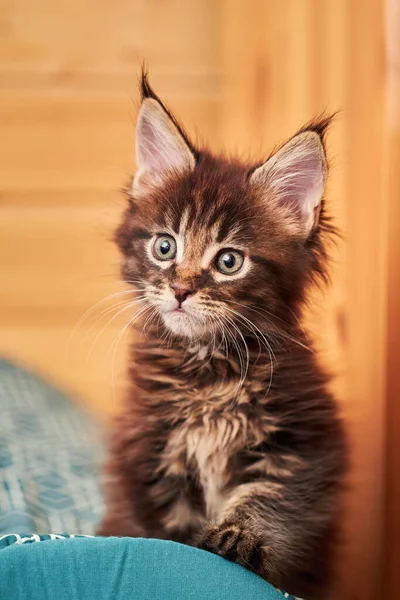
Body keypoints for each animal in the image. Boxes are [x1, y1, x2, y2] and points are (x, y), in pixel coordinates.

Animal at [98, 72, 348, 596]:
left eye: (229, 261)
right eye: (165, 246)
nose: (179, 289)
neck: (207, 370)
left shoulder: (301, 448)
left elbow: (270, 501)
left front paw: (235, 537)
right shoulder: (150, 455)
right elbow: (165, 535)